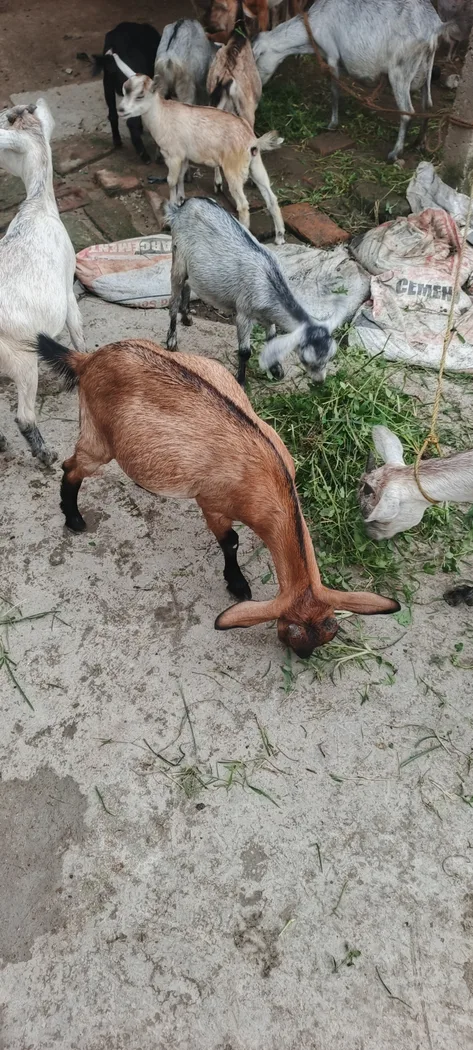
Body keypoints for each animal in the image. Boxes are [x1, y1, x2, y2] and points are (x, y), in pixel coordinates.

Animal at [37, 334, 399, 655]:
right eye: (289, 633)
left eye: (329, 633)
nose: (304, 657)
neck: (264, 471)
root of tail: (88, 359)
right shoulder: (211, 503)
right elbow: (231, 541)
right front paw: (237, 585)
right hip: (97, 435)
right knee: (72, 467)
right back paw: (73, 518)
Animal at [115, 66, 285, 242]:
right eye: (124, 90)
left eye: (140, 95)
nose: (120, 110)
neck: (162, 115)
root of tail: (252, 141)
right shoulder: (184, 156)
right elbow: (181, 177)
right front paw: (180, 200)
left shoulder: (173, 155)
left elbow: (171, 181)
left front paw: (172, 207)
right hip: (255, 164)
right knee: (271, 197)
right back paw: (279, 237)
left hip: (234, 169)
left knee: (243, 205)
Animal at [165, 197, 335, 387]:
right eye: (307, 359)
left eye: (329, 357)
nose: (320, 381)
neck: (269, 280)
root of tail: (183, 207)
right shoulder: (243, 313)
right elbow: (245, 351)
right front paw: (240, 382)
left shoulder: (268, 314)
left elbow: (272, 339)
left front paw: (276, 369)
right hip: (178, 256)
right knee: (174, 297)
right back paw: (172, 339)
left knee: (188, 284)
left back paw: (187, 316)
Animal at [252, 0, 458, 160]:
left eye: (256, 60)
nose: (258, 90)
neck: (314, 24)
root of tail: (434, 26)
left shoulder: (332, 56)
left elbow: (334, 91)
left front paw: (332, 124)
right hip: (427, 66)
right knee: (427, 105)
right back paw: (419, 143)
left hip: (401, 70)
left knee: (407, 112)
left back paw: (395, 153)